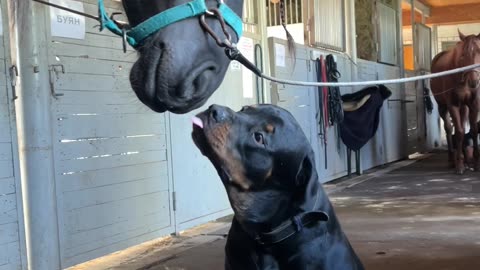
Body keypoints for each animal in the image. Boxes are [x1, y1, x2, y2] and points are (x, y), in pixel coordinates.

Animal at [432, 30, 480, 174]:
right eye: (463, 55)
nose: (474, 82)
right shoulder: (452, 105)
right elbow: (458, 132)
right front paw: (459, 164)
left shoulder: (473, 104)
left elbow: (473, 130)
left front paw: (475, 163)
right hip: (443, 107)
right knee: (449, 129)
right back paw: (452, 160)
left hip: (463, 107)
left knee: (463, 127)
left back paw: (466, 160)